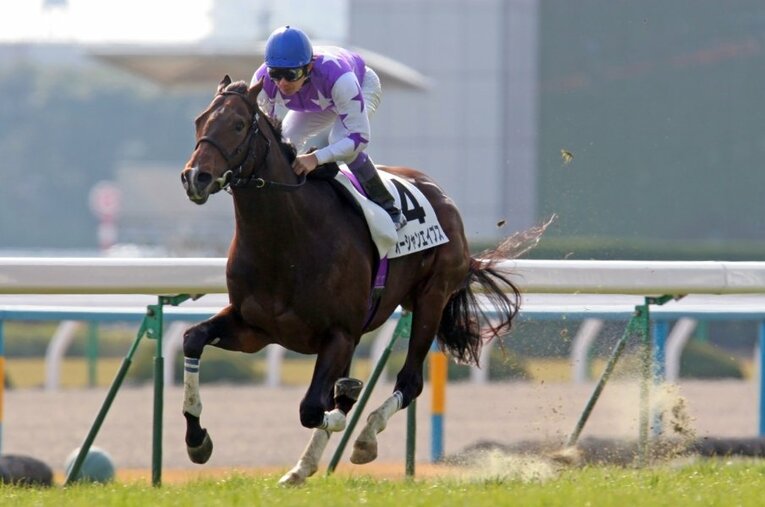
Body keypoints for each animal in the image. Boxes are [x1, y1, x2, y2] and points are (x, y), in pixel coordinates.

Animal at [180, 75, 522, 485]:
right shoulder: (254, 329)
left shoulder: (339, 334)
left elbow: (314, 407)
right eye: (199, 121)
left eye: (238, 124)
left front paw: (349, 407)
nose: (195, 177)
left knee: (409, 381)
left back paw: (364, 439)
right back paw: (301, 468)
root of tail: (441, 195)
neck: (286, 240)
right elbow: (193, 338)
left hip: (430, 299)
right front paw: (197, 439)